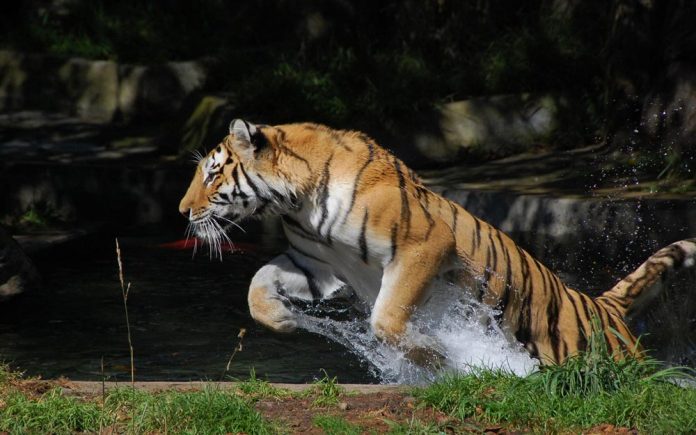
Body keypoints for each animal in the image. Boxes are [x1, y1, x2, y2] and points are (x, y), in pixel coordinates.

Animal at [179, 119, 696, 367]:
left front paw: (439, 357)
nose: (183, 211)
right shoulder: (316, 263)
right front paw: (282, 319)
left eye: (212, 173)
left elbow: (387, 319)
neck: (297, 203)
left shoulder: (423, 246)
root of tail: (604, 306)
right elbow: (257, 283)